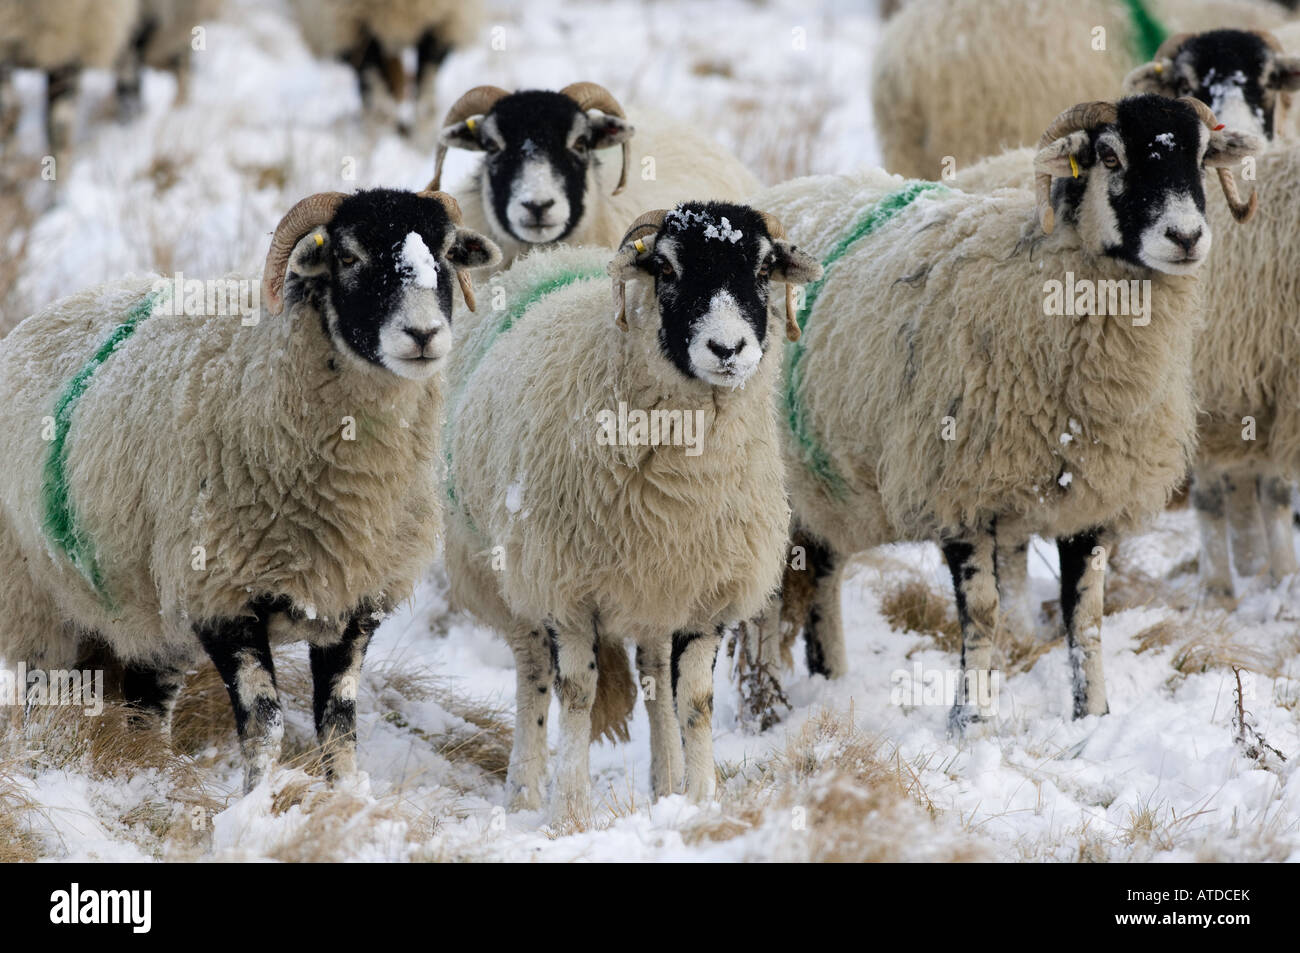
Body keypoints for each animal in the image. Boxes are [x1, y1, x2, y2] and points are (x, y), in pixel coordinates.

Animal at [0, 185, 501, 790]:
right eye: (348, 256)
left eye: (447, 254)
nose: (424, 336)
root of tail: (35, 321)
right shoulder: (220, 595)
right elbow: (265, 726)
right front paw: (257, 800)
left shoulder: (354, 601)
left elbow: (338, 729)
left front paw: (344, 799)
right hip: (37, 602)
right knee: (42, 700)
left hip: (145, 611)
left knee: (144, 708)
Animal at [754, 94, 1258, 722]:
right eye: (1110, 157)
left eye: (1200, 154)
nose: (1186, 237)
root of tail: (786, 193)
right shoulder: (956, 491)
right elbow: (982, 613)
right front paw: (970, 721)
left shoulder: (1093, 495)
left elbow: (1085, 619)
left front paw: (1092, 715)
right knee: (765, 604)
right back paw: (766, 703)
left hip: (826, 484)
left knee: (822, 571)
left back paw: (829, 679)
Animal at [1123, 33, 1300, 605]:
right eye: (1183, 82)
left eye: (1269, 81)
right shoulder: (1201, 387)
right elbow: (1209, 496)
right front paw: (1219, 588)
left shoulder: (1279, 388)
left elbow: (1276, 489)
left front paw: (1283, 579)